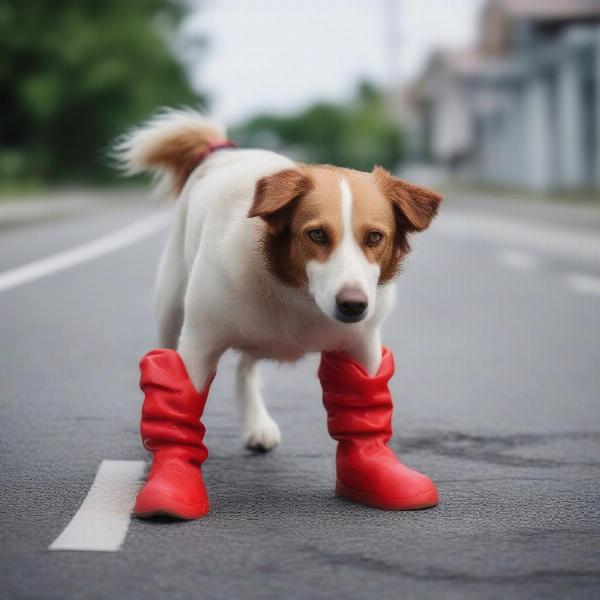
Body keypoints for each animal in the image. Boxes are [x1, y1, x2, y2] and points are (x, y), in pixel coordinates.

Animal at [116, 108, 440, 454]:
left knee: (246, 370)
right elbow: (179, 397)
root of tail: (221, 151)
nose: (353, 306)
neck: (296, 296)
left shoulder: (363, 346)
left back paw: (257, 424)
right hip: (171, 307)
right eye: (317, 234)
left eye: (375, 237)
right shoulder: (198, 345)